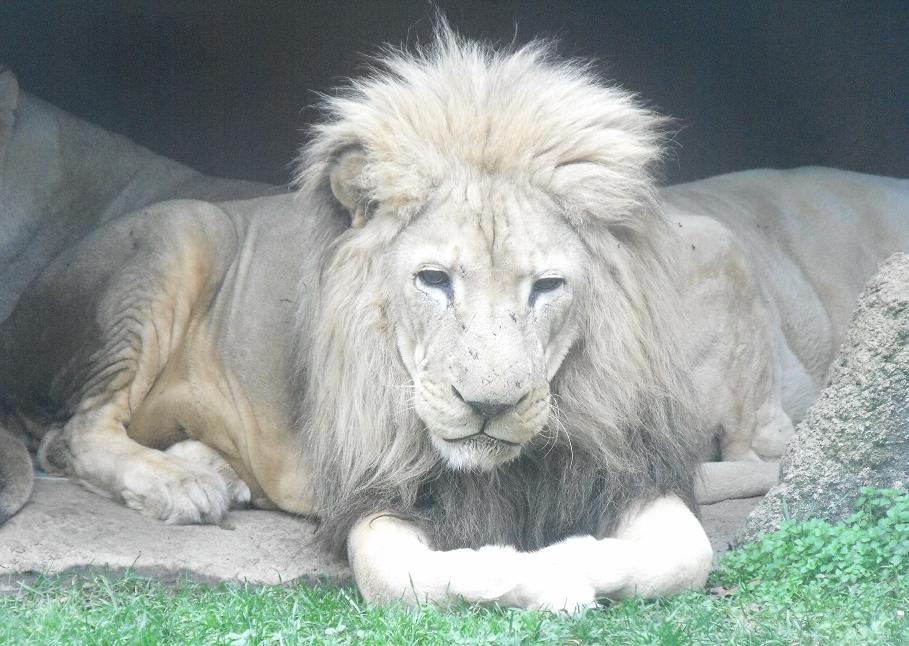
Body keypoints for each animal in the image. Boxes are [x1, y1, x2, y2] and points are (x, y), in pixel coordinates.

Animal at [1, 28, 908, 610]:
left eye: (546, 287)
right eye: (433, 280)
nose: (489, 406)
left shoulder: (625, 464)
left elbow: (685, 556)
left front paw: (571, 563)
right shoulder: (372, 493)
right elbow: (409, 579)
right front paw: (516, 571)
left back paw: (208, 466)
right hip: (181, 230)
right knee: (73, 431)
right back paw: (183, 487)